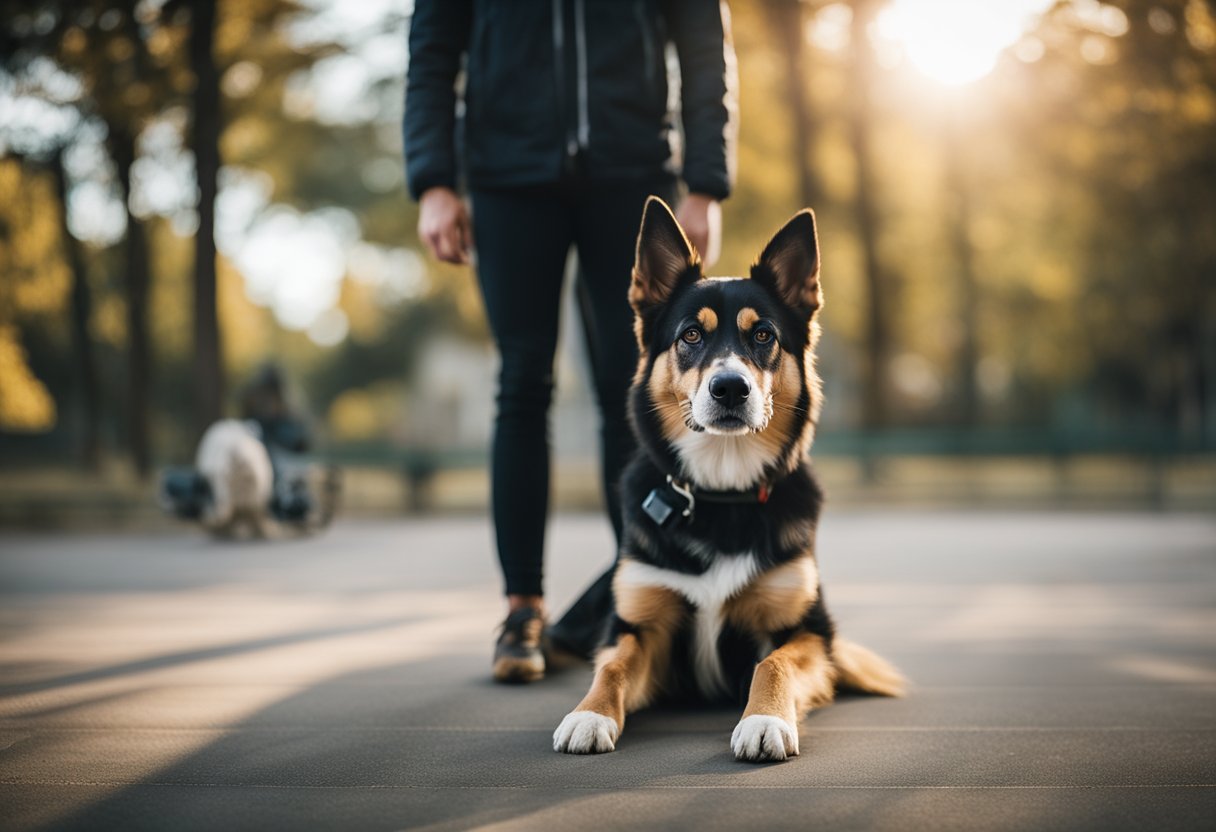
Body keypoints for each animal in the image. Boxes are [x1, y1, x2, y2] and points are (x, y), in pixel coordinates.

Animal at [552, 198, 904, 763]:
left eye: (763, 335)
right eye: (690, 335)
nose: (730, 388)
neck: (721, 493)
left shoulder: (807, 631)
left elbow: (772, 661)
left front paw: (764, 719)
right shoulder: (640, 627)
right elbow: (612, 665)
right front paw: (589, 714)